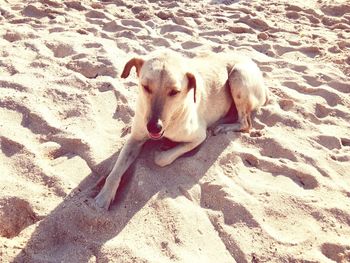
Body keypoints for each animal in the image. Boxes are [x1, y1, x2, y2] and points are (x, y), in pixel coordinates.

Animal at [93, 50, 268, 210]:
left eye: (175, 92)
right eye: (145, 87)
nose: (153, 126)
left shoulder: (199, 136)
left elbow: (162, 159)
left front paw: (163, 150)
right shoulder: (135, 139)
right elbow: (115, 172)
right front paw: (104, 196)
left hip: (238, 76)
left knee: (246, 123)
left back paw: (222, 126)